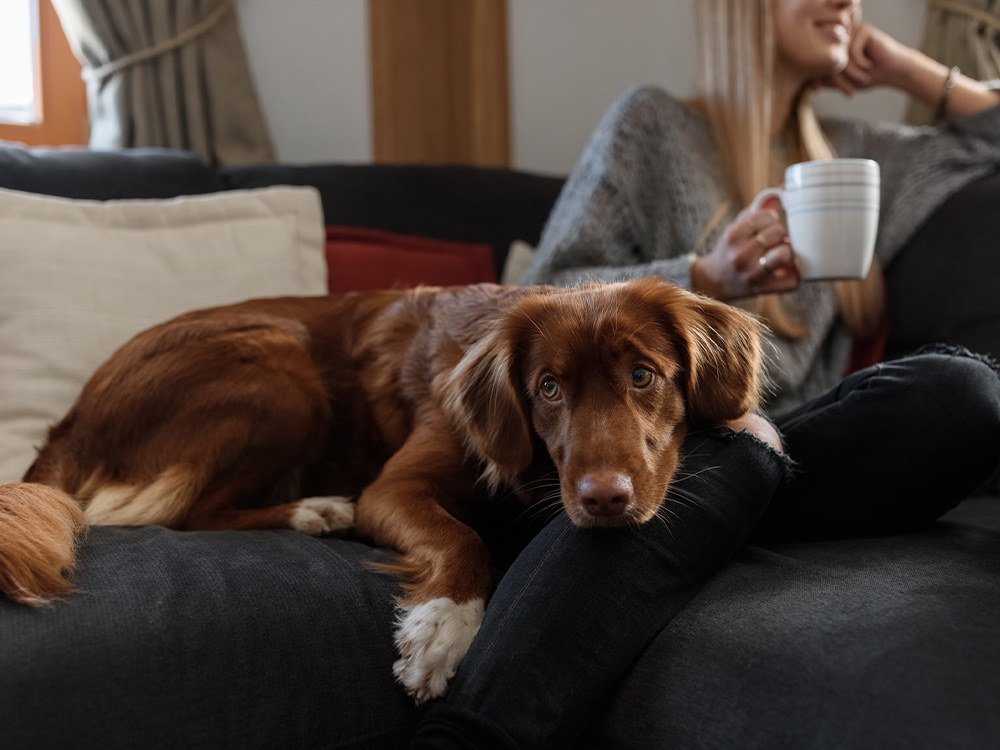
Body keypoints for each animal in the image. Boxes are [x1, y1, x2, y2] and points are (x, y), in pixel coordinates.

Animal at [0, 278, 760, 704]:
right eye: (548, 388)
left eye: (643, 375)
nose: (605, 499)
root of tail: (70, 419)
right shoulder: (393, 488)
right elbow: (462, 537)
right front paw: (442, 628)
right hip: (279, 361)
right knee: (191, 511)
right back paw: (316, 510)